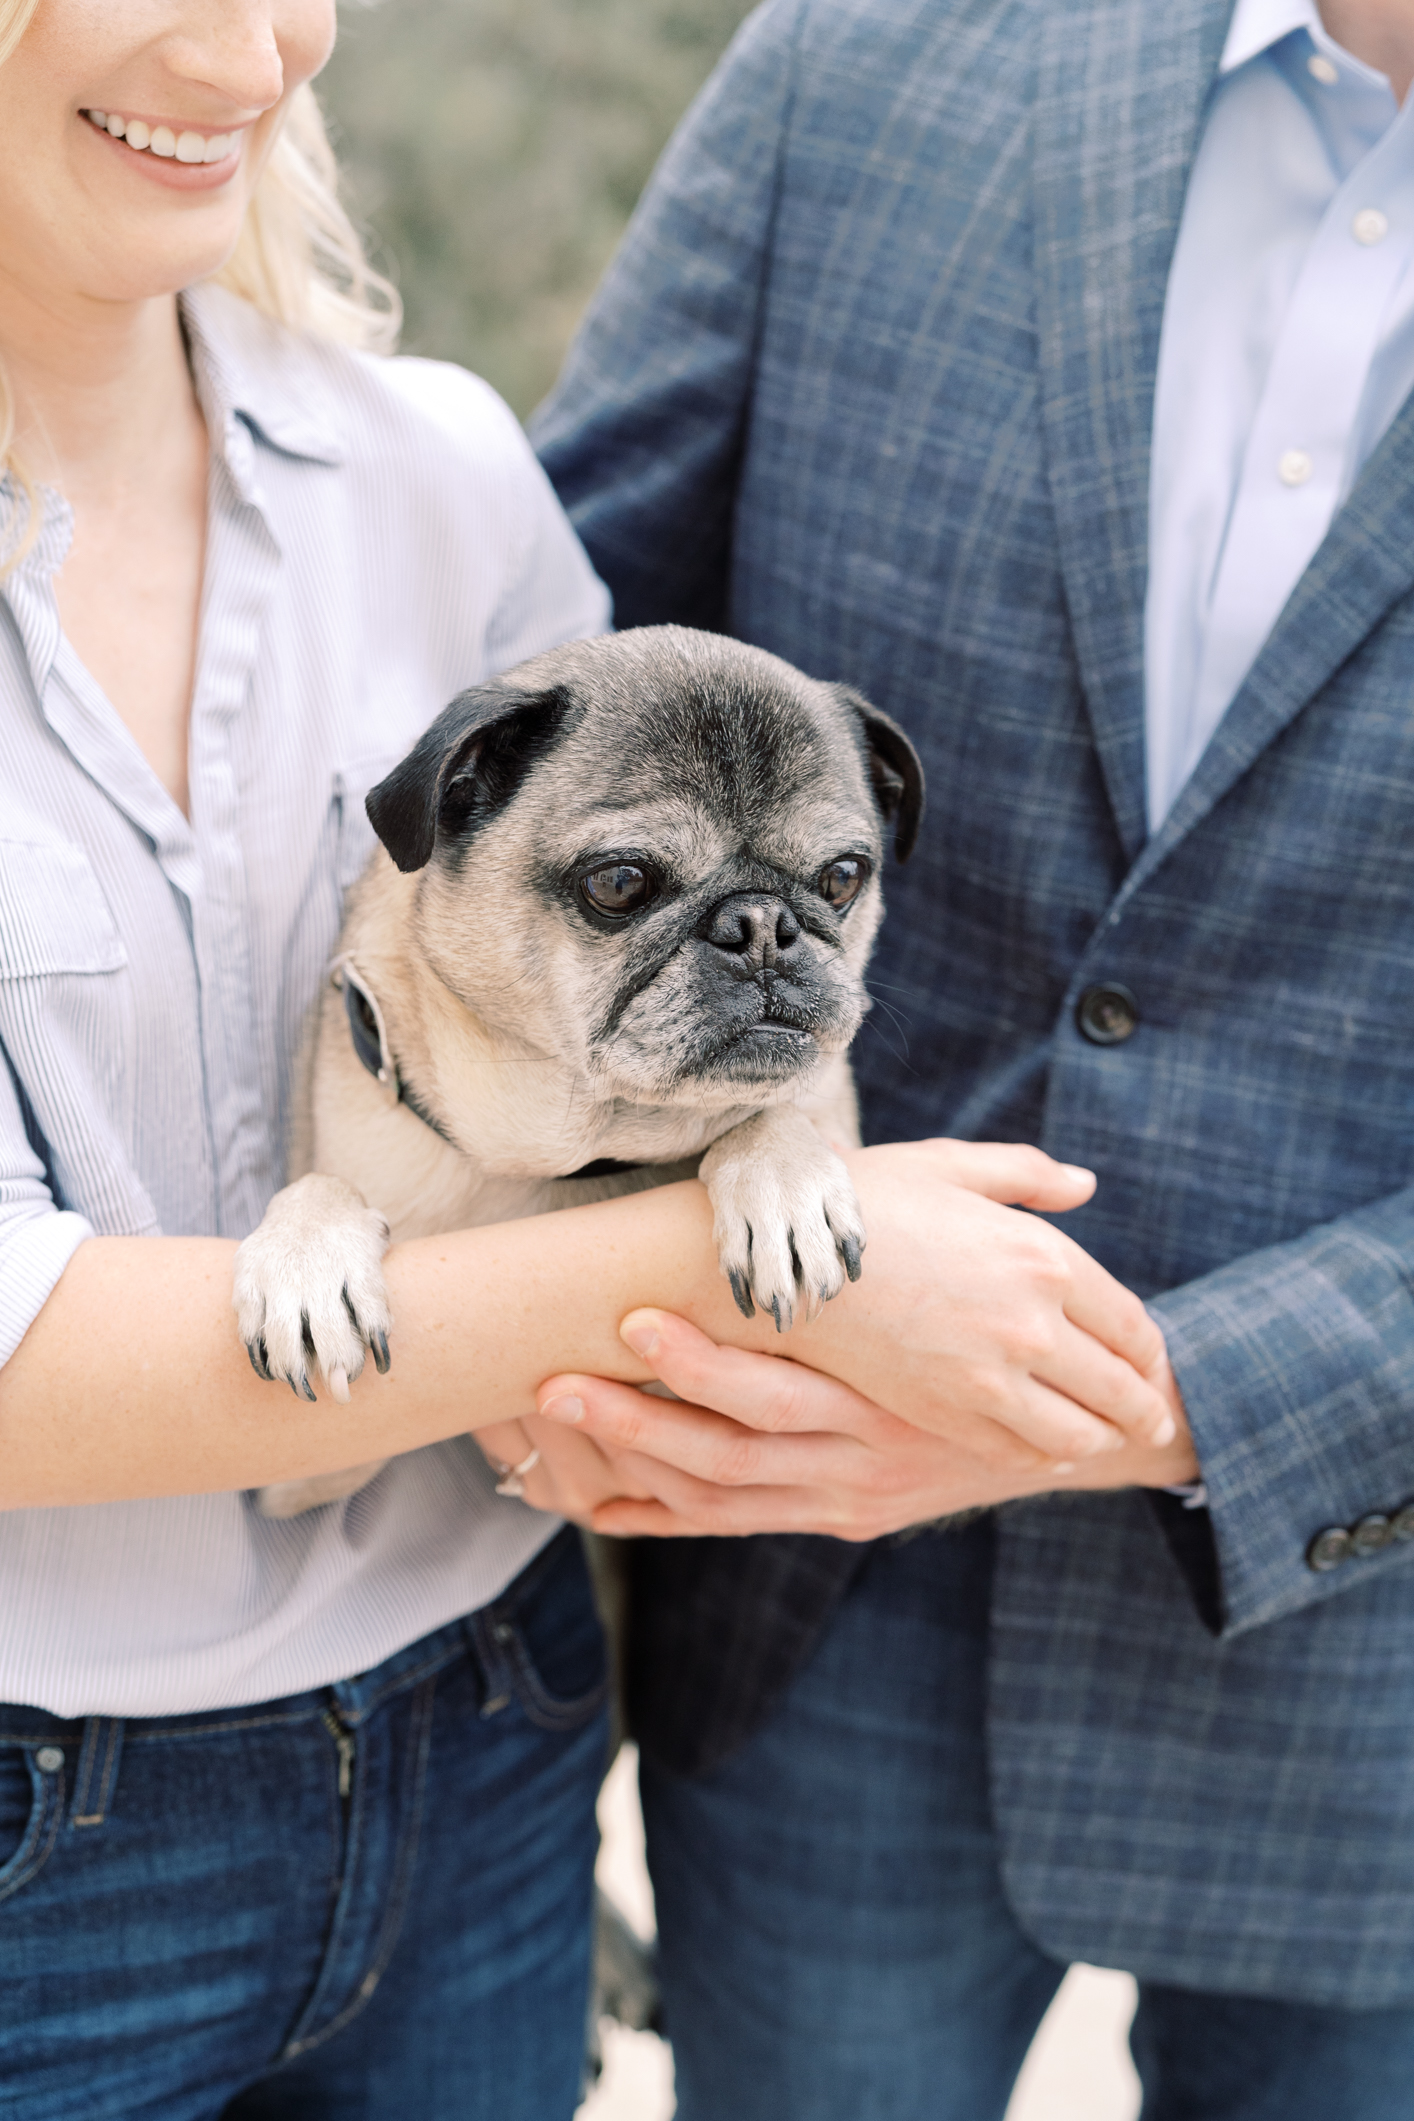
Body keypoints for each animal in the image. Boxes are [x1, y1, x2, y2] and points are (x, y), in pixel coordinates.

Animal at [237, 619, 924, 1518]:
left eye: (843, 876)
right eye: (621, 882)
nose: (762, 926)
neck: (579, 1152)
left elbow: (776, 1111)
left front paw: (780, 1179)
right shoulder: (299, 1475)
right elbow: (323, 1185)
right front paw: (305, 1256)